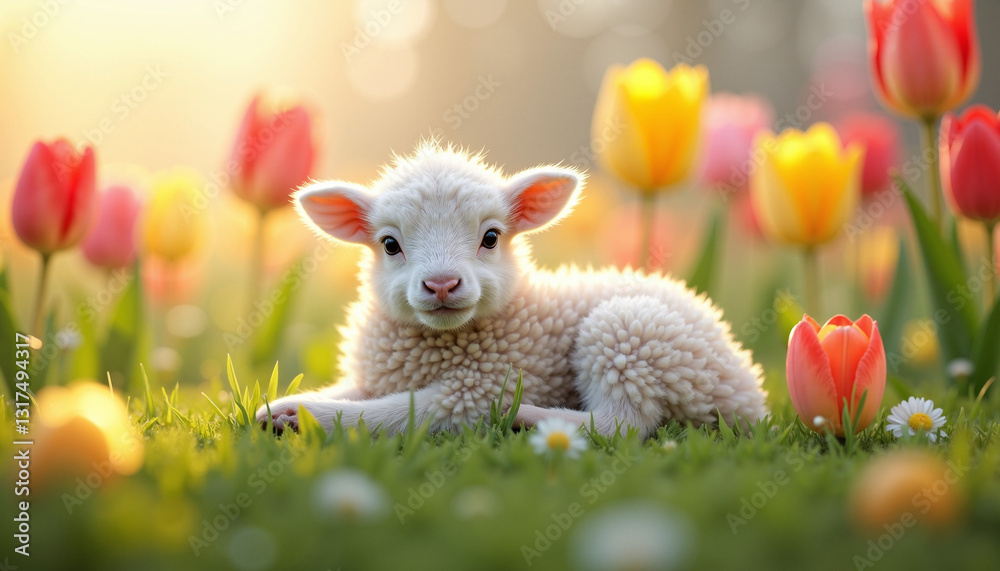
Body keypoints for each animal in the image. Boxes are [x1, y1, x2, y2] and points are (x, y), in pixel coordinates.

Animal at [255, 143, 768, 439]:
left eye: (490, 237)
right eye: (389, 244)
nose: (442, 284)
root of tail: (748, 386)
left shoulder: (478, 388)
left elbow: (396, 413)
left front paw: (305, 416)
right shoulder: (378, 377)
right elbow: (354, 393)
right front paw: (277, 407)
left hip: (631, 333)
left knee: (623, 423)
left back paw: (531, 418)